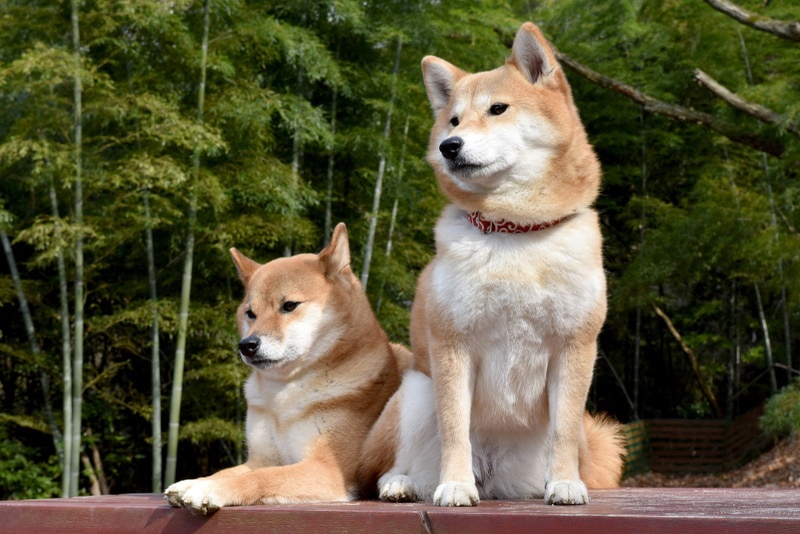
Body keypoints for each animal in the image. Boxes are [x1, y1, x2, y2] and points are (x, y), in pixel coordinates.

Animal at [166, 224, 410, 516]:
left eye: (289, 305)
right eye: (250, 313)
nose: (247, 345)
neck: (283, 396)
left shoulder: (327, 468)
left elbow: (262, 477)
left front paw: (208, 490)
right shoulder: (261, 458)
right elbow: (228, 472)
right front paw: (195, 482)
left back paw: (399, 484)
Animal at [362, 23, 624, 508]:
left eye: (497, 109)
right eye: (453, 120)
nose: (449, 146)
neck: (513, 230)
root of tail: (494, 474)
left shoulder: (575, 346)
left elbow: (563, 429)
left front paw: (565, 483)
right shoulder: (452, 345)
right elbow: (455, 428)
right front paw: (455, 485)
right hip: (414, 392)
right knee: (391, 467)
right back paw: (402, 484)